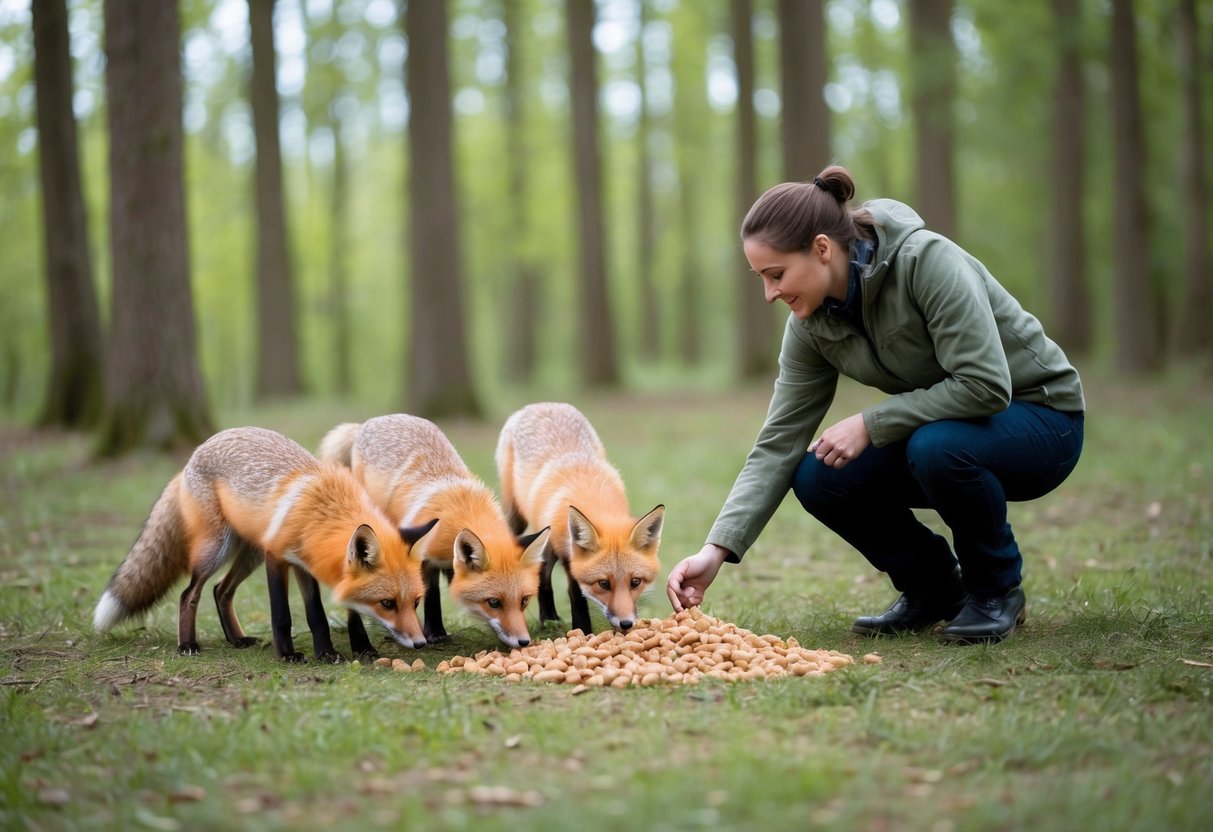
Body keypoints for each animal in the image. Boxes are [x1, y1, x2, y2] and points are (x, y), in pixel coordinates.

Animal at [92, 427, 437, 662]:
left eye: (416, 602)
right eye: (387, 603)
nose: (421, 643)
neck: (323, 512)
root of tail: (194, 454)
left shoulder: (304, 566)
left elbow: (318, 615)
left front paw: (335, 652)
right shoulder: (277, 557)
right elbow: (282, 615)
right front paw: (288, 656)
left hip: (249, 554)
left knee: (221, 590)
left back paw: (237, 639)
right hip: (217, 550)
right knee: (189, 594)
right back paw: (187, 644)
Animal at [318, 414, 549, 649]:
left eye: (524, 600)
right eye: (494, 602)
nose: (524, 641)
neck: (463, 509)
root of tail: (375, 420)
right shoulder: (424, 558)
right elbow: (431, 594)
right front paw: (435, 633)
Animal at [494, 402, 665, 635]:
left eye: (635, 582)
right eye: (604, 584)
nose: (626, 623)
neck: (592, 498)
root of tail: (542, 404)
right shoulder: (569, 556)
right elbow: (576, 595)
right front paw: (583, 630)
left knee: (542, 574)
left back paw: (549, 617)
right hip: (519, 519)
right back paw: (547, 619)